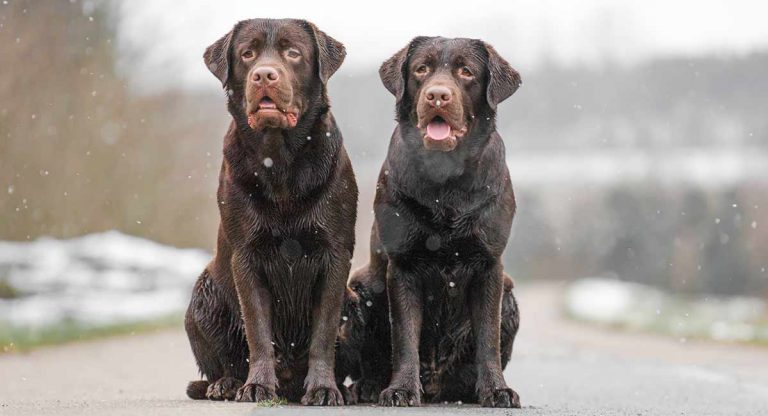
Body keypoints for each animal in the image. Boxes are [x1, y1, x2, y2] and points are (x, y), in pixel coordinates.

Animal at [186, 19, 356, 406]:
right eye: (247, 53)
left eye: (293, 52)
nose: (264, 74)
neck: (280, 163)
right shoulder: (246, 257)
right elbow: (258, 331)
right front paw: (257, 386)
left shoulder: (336, 256)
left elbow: (323, 333)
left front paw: (323, 388)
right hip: (202, 299)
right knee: (223, 362)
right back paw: (226, 384)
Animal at [340, 35, 524, 406]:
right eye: (421, 69)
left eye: (466, 72)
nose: (437, 95)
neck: (446, 179)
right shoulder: (404, 265)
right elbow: (405, 337)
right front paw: (400, 389)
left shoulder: (490, 265)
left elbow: (488, 339)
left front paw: (496, 390)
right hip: (360, 286)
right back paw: (368, 386)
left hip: (510, 294)